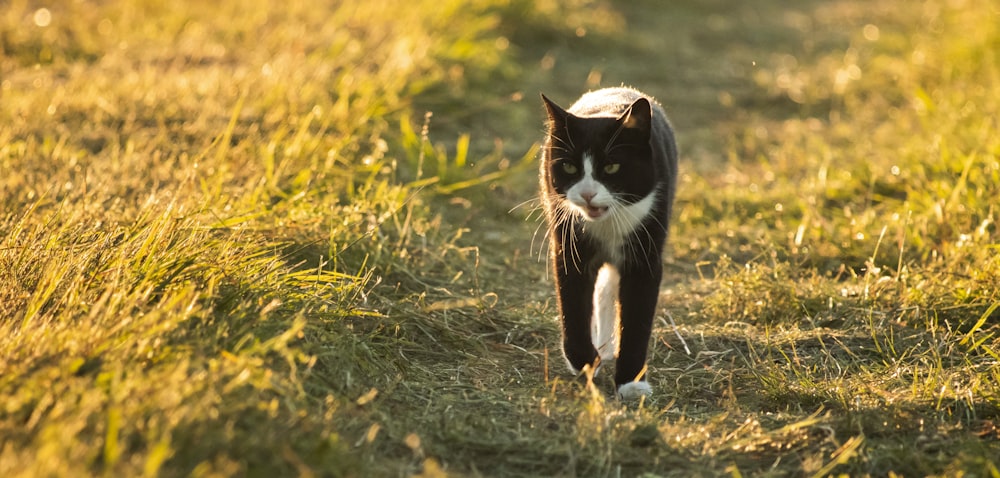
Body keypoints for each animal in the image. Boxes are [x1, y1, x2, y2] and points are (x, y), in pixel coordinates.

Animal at [540, 86, 680, 400]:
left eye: (612, 167)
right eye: (569, 167)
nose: (588, 193)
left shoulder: (645, 256)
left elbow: (636, 319)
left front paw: (631, 383)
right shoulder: (569, 245)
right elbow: (573, 305)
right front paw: (584, 360)